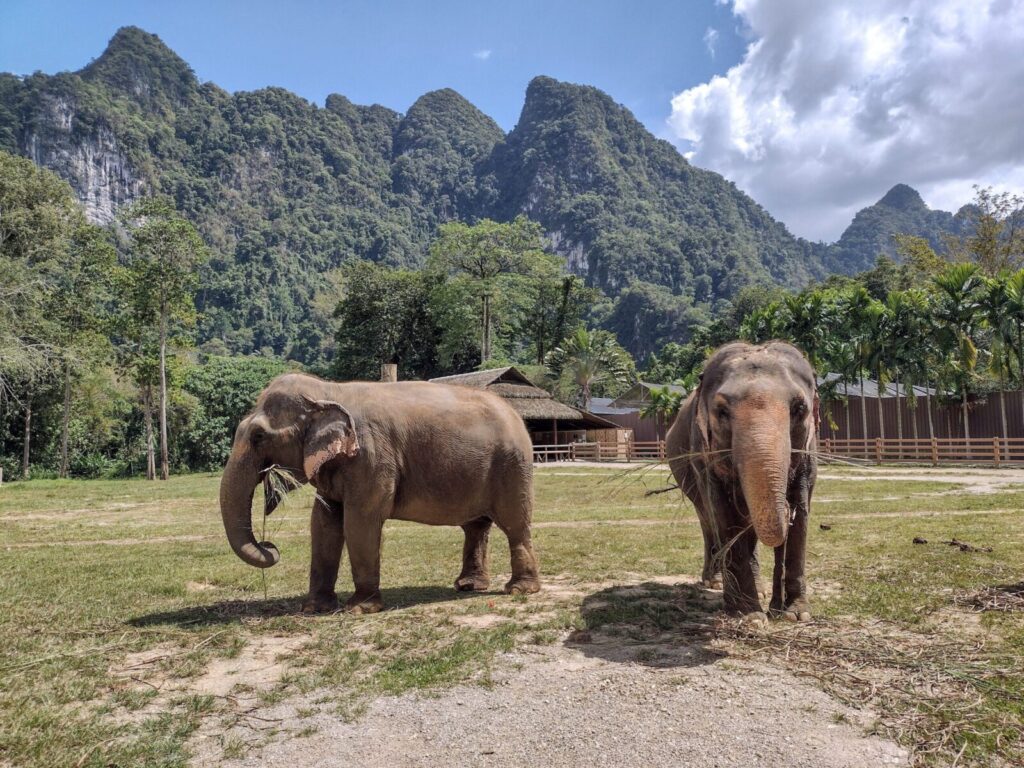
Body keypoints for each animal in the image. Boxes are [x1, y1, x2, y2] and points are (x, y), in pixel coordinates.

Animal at [219, 372, 541, 614]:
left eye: (259, 436)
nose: (270, 546)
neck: (329, 390)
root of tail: (516, 414)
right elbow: (323, 524)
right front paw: (313, 608)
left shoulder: (372, 458)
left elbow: (360, 521)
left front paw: (359, 609)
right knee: (476, 527)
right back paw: (468, 586)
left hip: (513, 467)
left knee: (514, 524)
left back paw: (519, 590)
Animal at [666, 341, 818, 624]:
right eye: (722, 411)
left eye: (799, 409)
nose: (785, 508)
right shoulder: (702, 454)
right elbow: (723, 514)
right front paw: (748, 615)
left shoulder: (809, 451)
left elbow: (802, 510)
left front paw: (795, 614)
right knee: (707, 519)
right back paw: (716, 582)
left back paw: (758, 590)